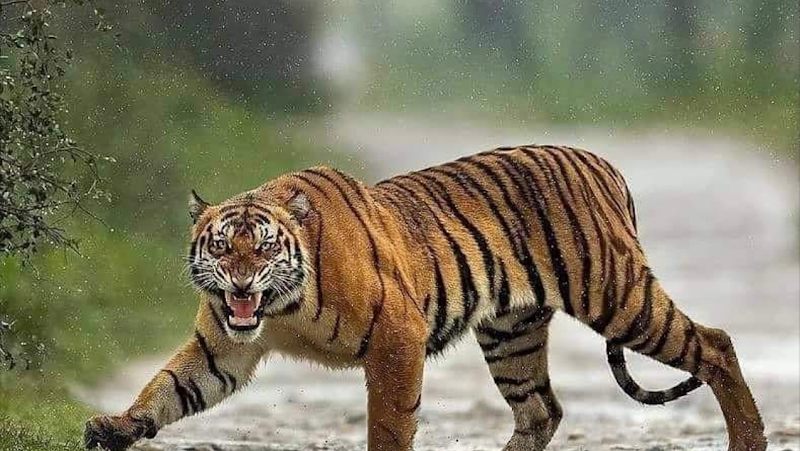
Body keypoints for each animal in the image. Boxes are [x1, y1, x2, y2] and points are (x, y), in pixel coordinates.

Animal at [84, 145, 766, 451]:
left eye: (265, 249)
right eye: (223, 247)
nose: (242, 286)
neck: (279, 309)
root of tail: (602, 161)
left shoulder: (396, 335)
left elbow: (389, 419)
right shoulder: (222, 347)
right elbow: (169, 386)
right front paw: (115, 426)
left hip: (615, 295)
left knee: (715, 344)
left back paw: (749, 440)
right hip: (511, 333)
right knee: (540, 410)